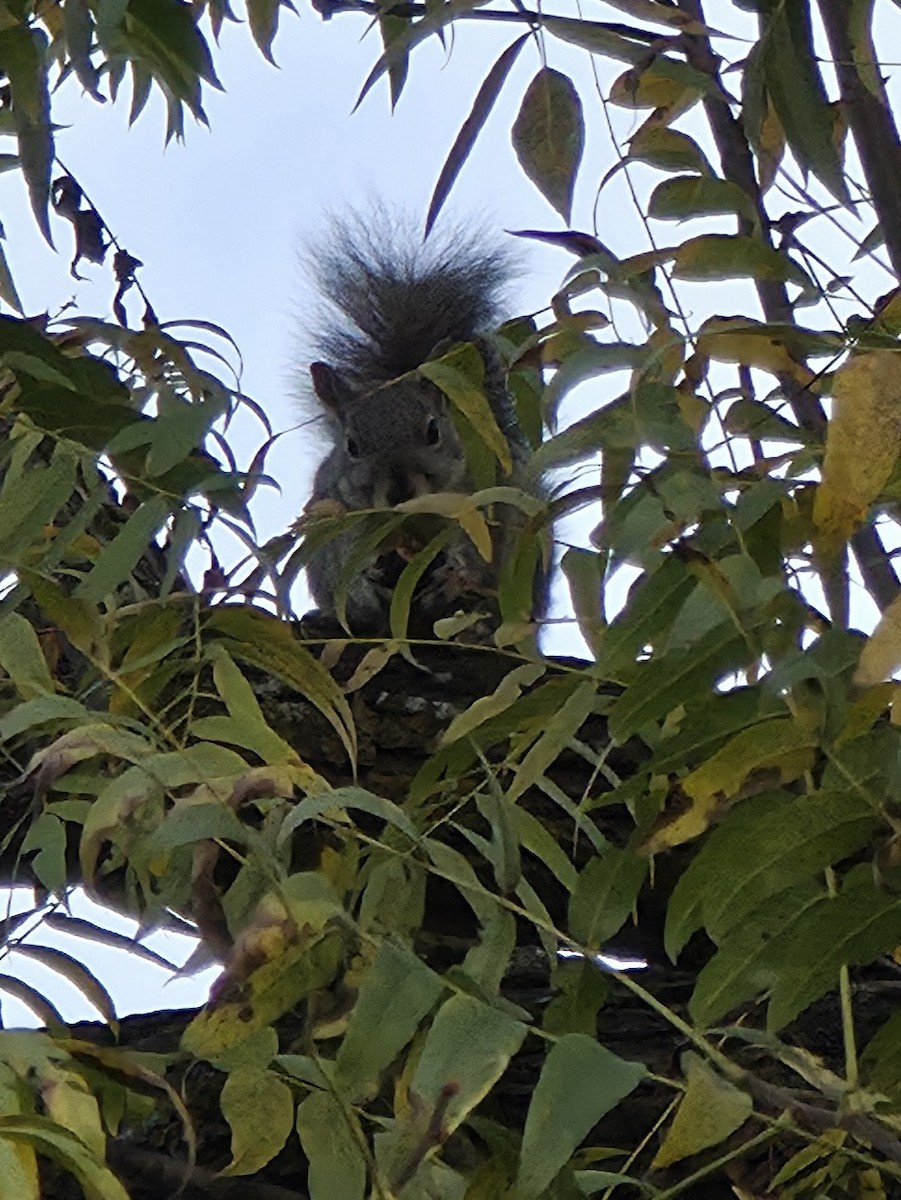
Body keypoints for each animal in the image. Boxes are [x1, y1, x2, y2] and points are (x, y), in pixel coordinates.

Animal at [299, 216, 543, 633]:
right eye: (351, 446)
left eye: (433, 431)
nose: (400, 491)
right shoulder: (335, 513)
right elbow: (342, 562)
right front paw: (363, 582)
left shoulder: (486, 497)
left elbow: (480, 549)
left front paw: (455, 573)